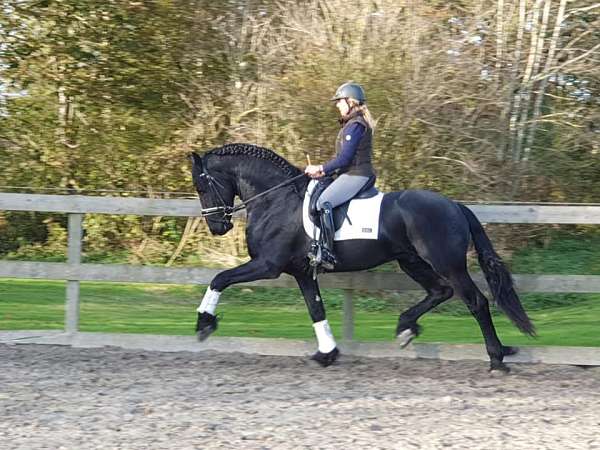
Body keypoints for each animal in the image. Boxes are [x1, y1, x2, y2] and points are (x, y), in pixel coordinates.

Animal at [189, 142, 536, 370]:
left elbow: (220, 278)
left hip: (447, 263)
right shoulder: (301, 271)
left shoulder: (268, 265)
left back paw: (496, 358)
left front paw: (204, 323)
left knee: (475, 301)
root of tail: (454, 205)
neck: (276, 199)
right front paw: (327, 353)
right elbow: (316, 309)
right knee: (440, 291)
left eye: (201, 186)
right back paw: (406, 327)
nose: (217, 226)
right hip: (411, 260)